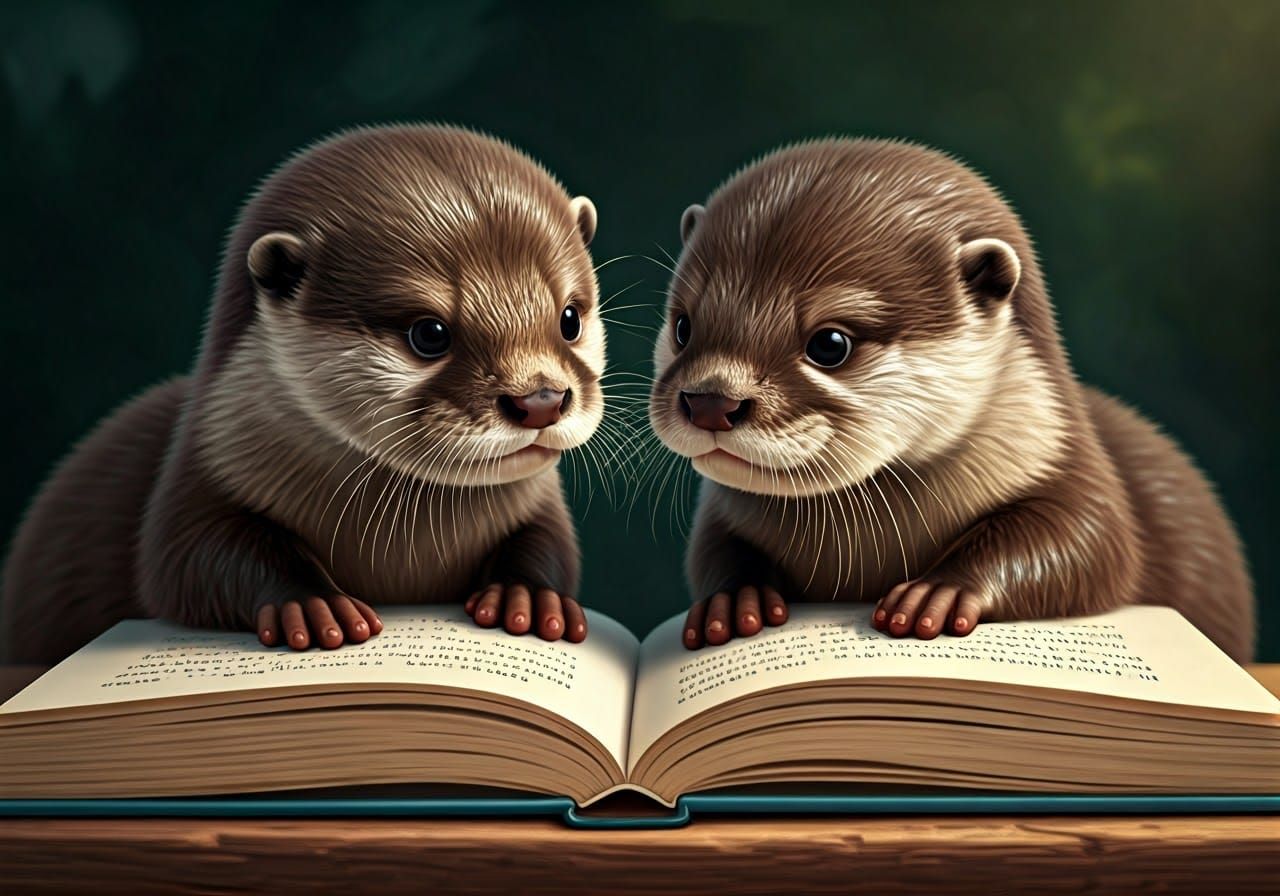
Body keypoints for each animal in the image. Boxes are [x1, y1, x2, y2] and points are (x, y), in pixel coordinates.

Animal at [2, 124, 607, 664]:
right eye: (429, 333)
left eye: (570, 318)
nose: (540, 400)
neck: (403, 555)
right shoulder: (195, 477)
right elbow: (182, 560)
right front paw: (315, 606)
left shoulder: (538, 499)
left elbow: (551, 539)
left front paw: (530, 596)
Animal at [649, 138, 1253, 662]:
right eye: (682, 325)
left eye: (830, 343)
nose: (710, 401)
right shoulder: (723, 507)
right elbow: (711, 544)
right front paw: (734, 599)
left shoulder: (1071, 466)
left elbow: (1092, 543)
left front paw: (939, 592)